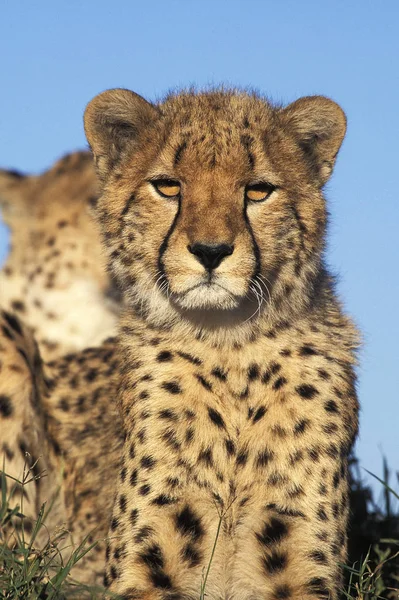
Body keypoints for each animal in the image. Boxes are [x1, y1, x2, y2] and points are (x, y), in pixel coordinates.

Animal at [83, 85, 360, 600]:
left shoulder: (301, 564)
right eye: (168, 186)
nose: (210, 251)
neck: (230, 348)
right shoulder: (145, 567)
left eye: (258, 190)